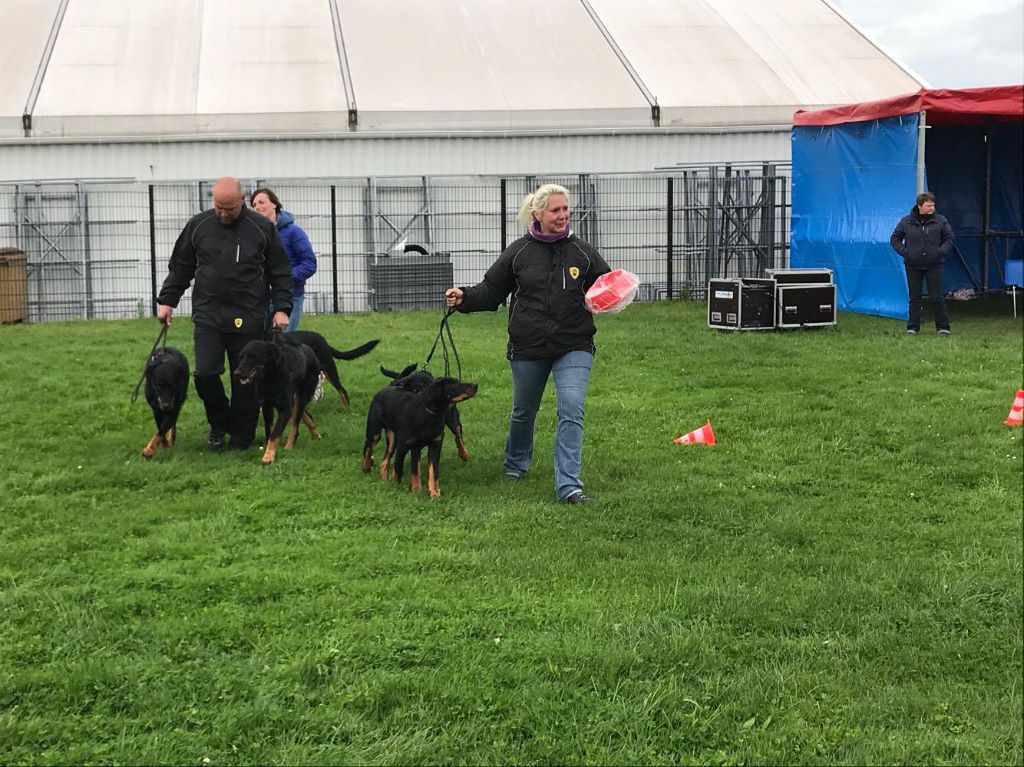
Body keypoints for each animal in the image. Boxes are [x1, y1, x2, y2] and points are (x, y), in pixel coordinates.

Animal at [234, 333, 319, 462]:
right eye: (241, 357)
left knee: (295, 424)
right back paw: (315, 433)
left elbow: (275, 434)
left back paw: (289, 446)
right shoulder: (266, 406)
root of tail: (310, 351)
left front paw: (268, 457)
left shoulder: (284, 409)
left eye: (252, 356)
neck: (270, 377)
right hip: (294, 400)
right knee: (305, 416)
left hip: (301, 396)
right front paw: (268, 449)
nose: (237, 373)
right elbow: (269, 431)